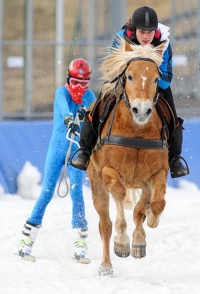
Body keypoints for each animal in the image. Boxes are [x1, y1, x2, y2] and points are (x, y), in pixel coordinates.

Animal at [87, 36, 172, 276]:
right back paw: (106, 265)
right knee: (105, 224)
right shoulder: (108, 171)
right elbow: (119, 193)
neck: (137, 131)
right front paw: (122, 241)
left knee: (139, 209)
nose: (141, 111)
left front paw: (148, 226)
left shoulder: (157, 174)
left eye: (156, 79)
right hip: (96, 183)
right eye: (130, 76)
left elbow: (155, 204)